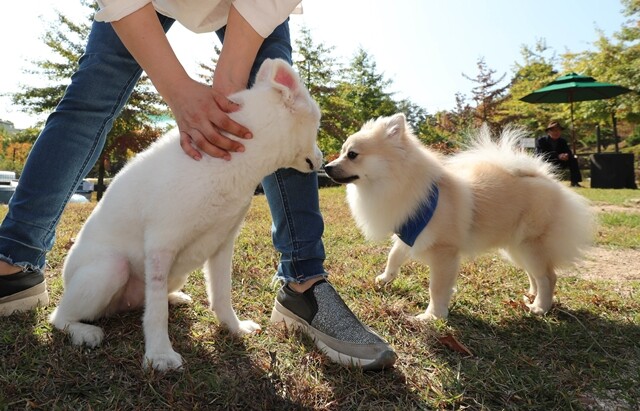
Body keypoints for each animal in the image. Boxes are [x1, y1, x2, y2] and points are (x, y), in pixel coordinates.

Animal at [50, 59, 322, 372]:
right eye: (317, 127)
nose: (322, 158)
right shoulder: (160, 246)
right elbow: (157, 313)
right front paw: (160, 355)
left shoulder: (223, 244)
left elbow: (221, 293)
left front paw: (234, 328)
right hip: (110, 269)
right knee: (60, 317)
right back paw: (83, 331)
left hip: (173, 275)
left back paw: (175, 297)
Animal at [324, 113, 596, 322]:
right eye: (342, 152)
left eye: (352, 155)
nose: (326, 167)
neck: (397, 182)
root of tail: (545, 178)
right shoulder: (409, 231)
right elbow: (394, 256)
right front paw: (384, 279)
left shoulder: (443, 251)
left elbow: (437, 287)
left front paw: (432, 316)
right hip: (516, 247)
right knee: (535, 274)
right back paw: (532, 295)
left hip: (530, 243)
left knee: (548, 276)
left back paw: (540, 307)